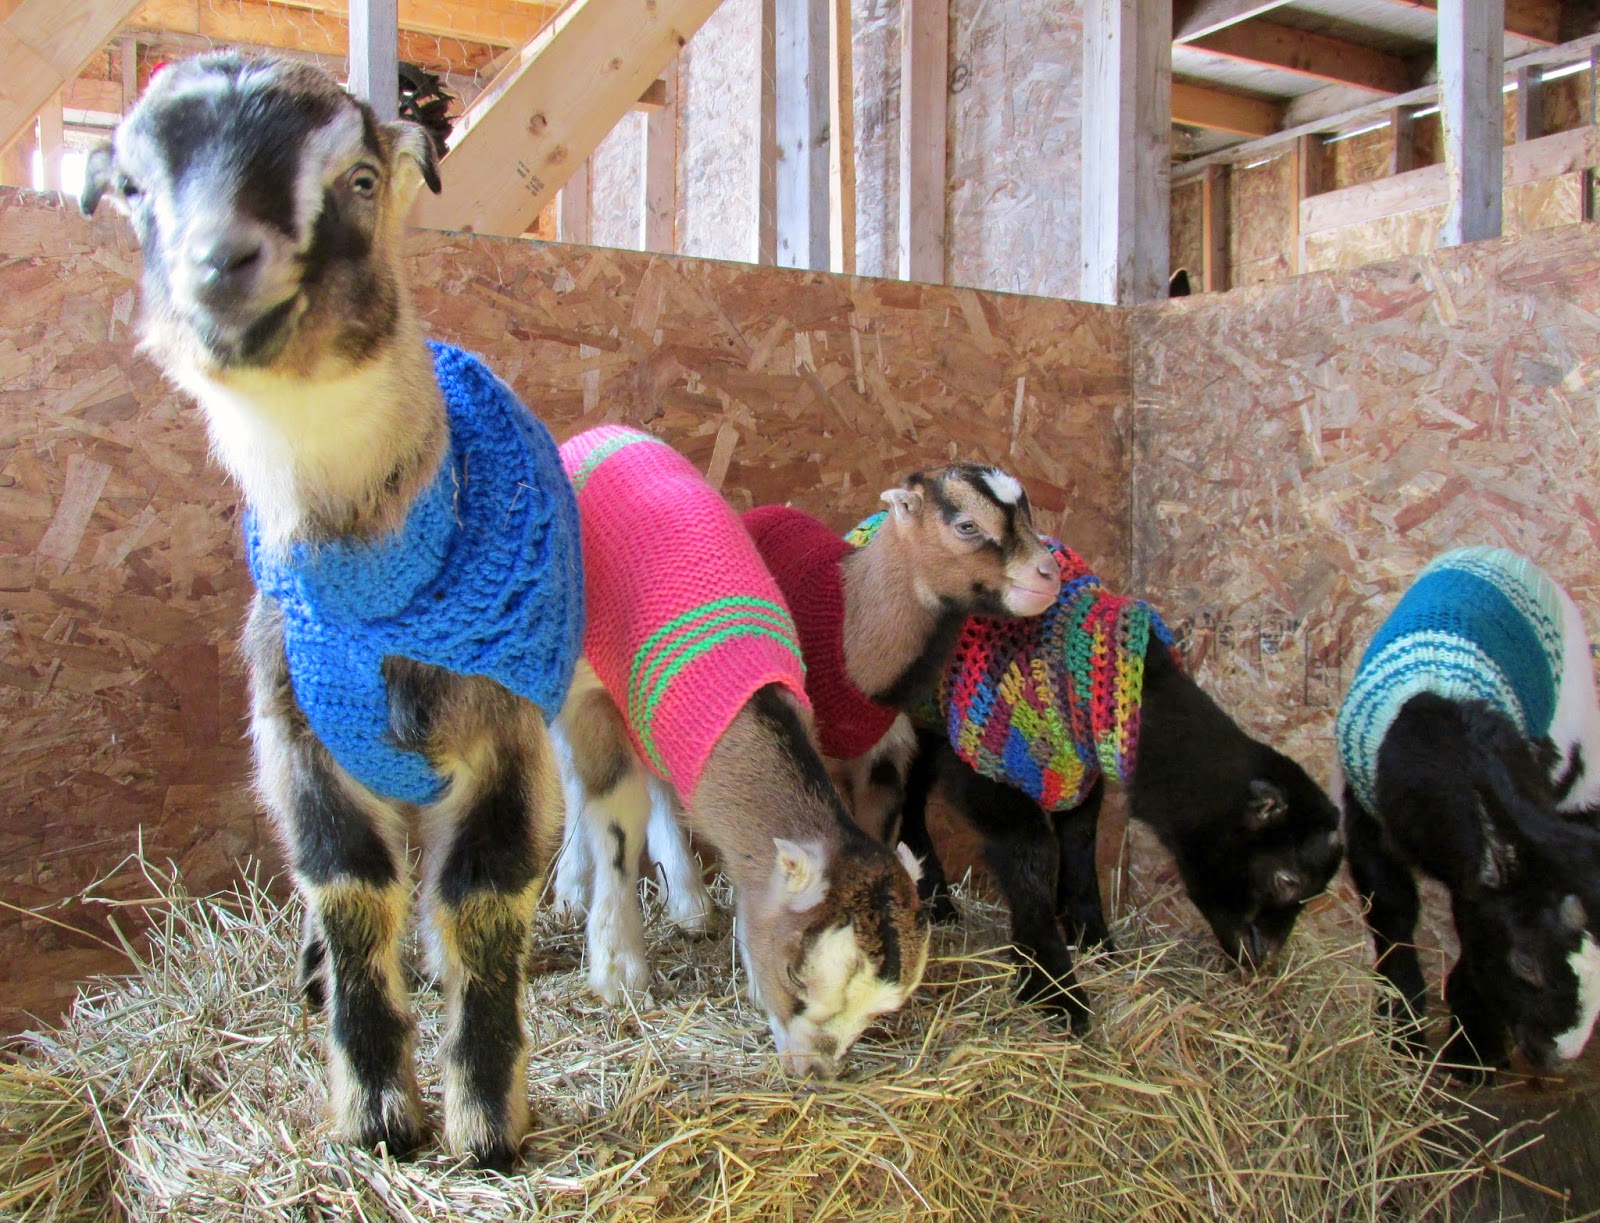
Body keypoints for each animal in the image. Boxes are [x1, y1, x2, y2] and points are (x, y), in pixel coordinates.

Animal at [81, 54, 583, 1169]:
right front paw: (379, 1109)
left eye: (357, 178)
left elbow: (483, 895)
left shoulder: (508, 738)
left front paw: (486, 1120)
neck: (383, 584)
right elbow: (348, 888)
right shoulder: (297, 738)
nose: (220, 267)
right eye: (132, 187)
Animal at [553, 427, 929, 1075]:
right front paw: (618, 969)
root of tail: (600, 431)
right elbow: (614, 819)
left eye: (879, 1011)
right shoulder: (588, 692)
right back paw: (574, 888)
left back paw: (687, 899)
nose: (813, 1072)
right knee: (574, 777)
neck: (743, 687)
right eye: (796, 978)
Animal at [894, 539, 1342, 1028]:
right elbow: (1032, 856)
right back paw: (936, 902)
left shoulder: (1081, 772)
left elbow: (1079, 846)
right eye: (1286, 879)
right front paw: (1054, 989)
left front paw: (1095, 942)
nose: (1263, 959)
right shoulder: (984, 761)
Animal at [1338, 546, 1600, 1073]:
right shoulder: (1367, 821)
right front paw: (1402, 1034)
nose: (1558, 1058)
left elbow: (1473, 934)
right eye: (1526, 963)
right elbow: (1392, 912)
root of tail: (1505, 554)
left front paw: (1472, 1050)